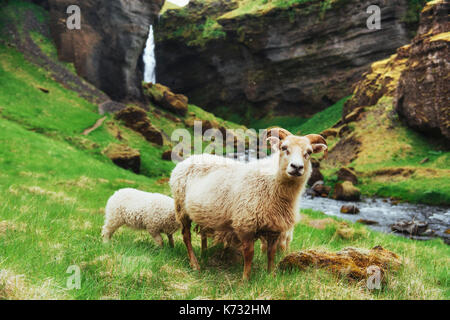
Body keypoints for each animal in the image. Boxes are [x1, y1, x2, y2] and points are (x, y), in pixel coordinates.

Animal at [170, 128, 326, 280]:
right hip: (181, 208)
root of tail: (187, 160)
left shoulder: (275, 228)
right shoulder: (245, 224)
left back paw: (204, 255)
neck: (271, 183)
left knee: (203, 233)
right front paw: (245, 279)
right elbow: (249, 254)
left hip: (204, 213)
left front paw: (270, 276)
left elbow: (271, 253)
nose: (297, 167)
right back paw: (195, 264)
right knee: (186, 236)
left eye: (309, 152)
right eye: (284, 148)